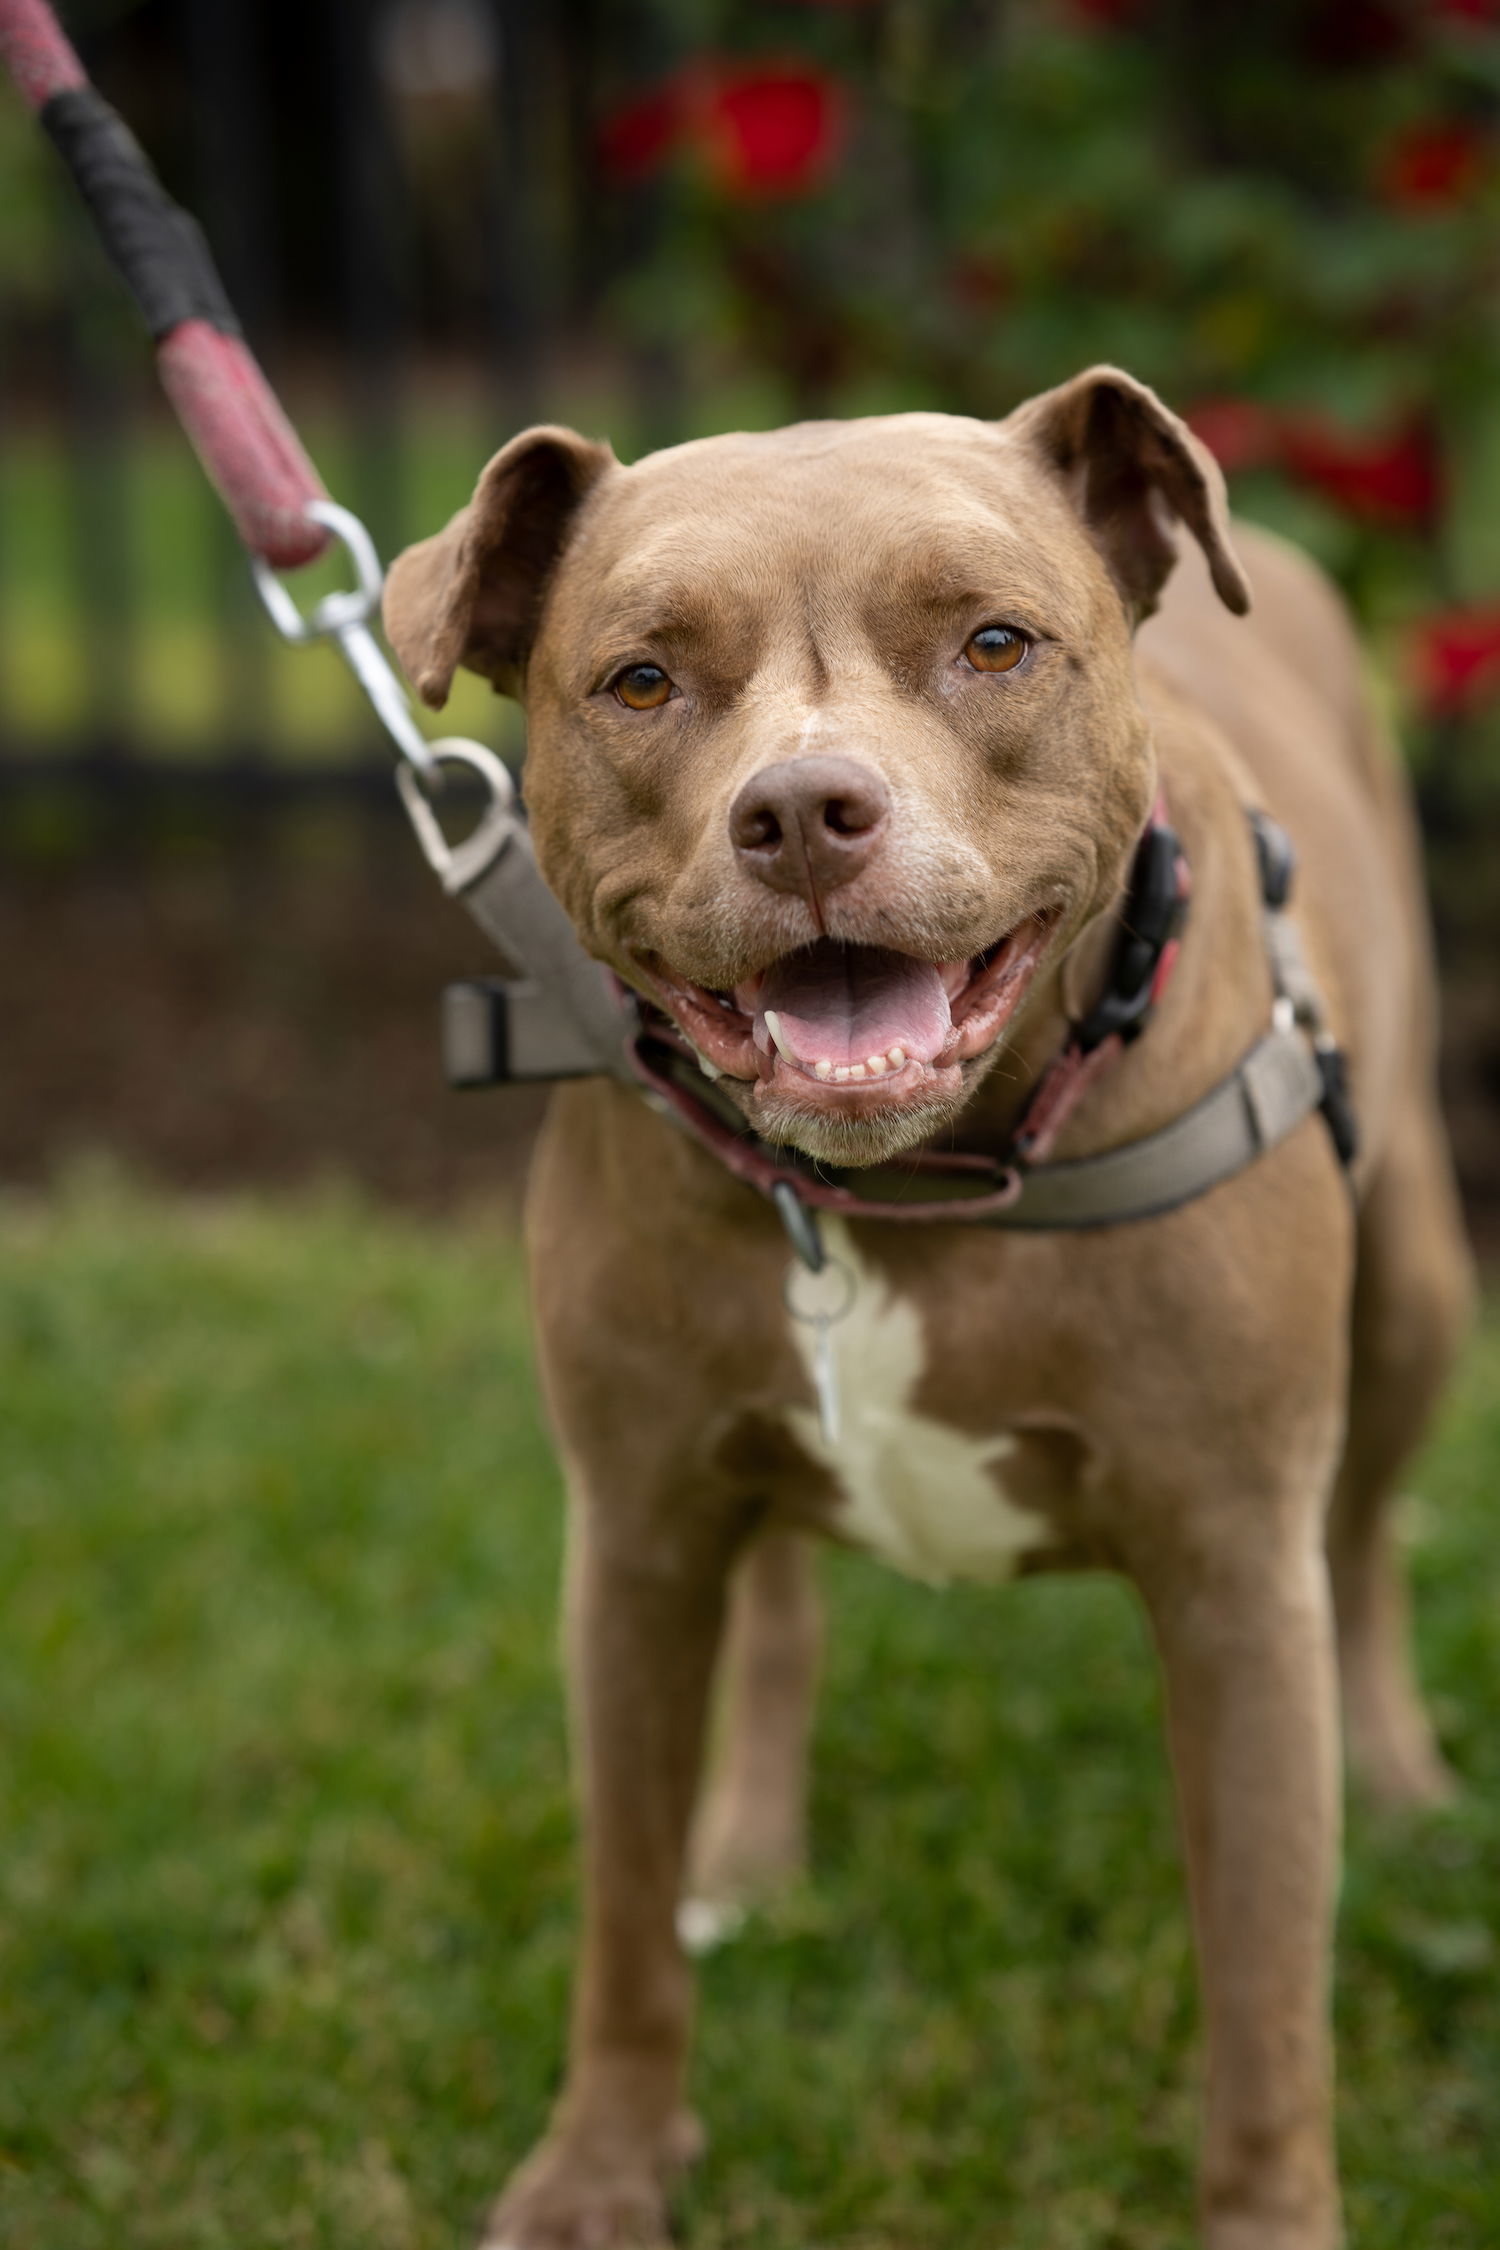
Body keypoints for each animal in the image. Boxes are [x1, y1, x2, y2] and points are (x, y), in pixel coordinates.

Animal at [386, 373, 1475, 2250]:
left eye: (994, 643)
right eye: (641, 680)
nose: (802, 811)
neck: (917, 1182)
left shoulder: (1232, 1574)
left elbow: (1266, 1990)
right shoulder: (638, 1532)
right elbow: (621, 1916)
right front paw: (603, 2165)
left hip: (1411, 1278)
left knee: (1369, 1535)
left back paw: (1406, 1776)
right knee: (780, 1613)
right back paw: (745, 1855)